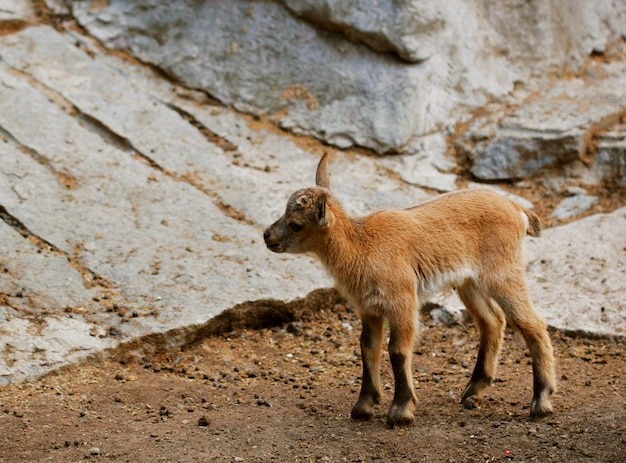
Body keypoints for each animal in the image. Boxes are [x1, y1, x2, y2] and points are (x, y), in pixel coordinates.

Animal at [260, 154, 552, 430]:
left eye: (296, 223)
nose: (267, 236)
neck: (361, 247)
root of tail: (517, 210)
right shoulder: (369, 308)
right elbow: (368, 347)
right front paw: (363, 407)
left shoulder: (402, 300)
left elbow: (398, 349)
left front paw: (401, 411)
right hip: (470, 282)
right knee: (493, 321)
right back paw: (473, 391)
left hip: (502, 272)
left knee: (532, 323)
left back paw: (541, 402)